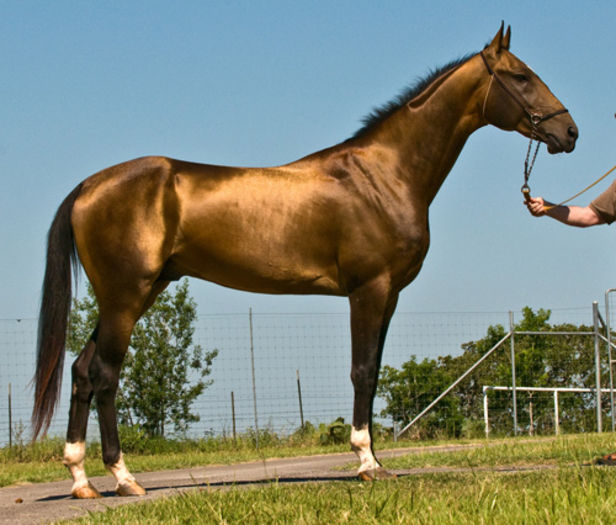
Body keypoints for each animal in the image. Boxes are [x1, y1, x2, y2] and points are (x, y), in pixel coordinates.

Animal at [32, 24, 576, 498]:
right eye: (521, 76)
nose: (569, 132)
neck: (384, 175)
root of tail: (89, 186)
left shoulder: (390, 296)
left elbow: (374, 373)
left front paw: (378, 461)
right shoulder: (369, 289)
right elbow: (362, 371)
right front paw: (365, 463)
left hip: (130, 297)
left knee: (82, 371)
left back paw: (81, 480)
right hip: (126, 298)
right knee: (105, 375)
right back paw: (123, 479)